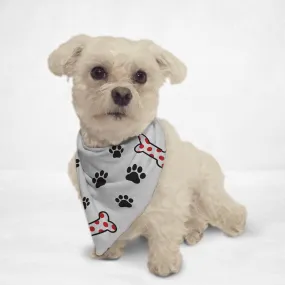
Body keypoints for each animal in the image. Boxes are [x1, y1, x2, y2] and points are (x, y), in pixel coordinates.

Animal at [47, 34, 245, 276]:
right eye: (97, 72)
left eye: (140, 76)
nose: (122, 93)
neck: (116, 151)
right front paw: (109, 251)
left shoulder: (169, 198)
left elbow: (165, 230)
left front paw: (164, 262)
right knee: (197, 219)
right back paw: (192, 231)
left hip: (206, 191)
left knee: (223, 208)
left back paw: (233, 222)